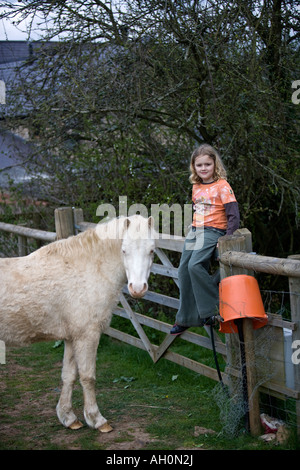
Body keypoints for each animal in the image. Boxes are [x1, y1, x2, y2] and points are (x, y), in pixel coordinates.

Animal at [0, 215, 155, 432]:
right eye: (124, 250)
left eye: (152, 250)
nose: (138, 289)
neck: (85, 269)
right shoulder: (87, 335)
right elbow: (88, 377)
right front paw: (97, 419)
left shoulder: (72, 337)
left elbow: (69, 376)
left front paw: (68, 417)